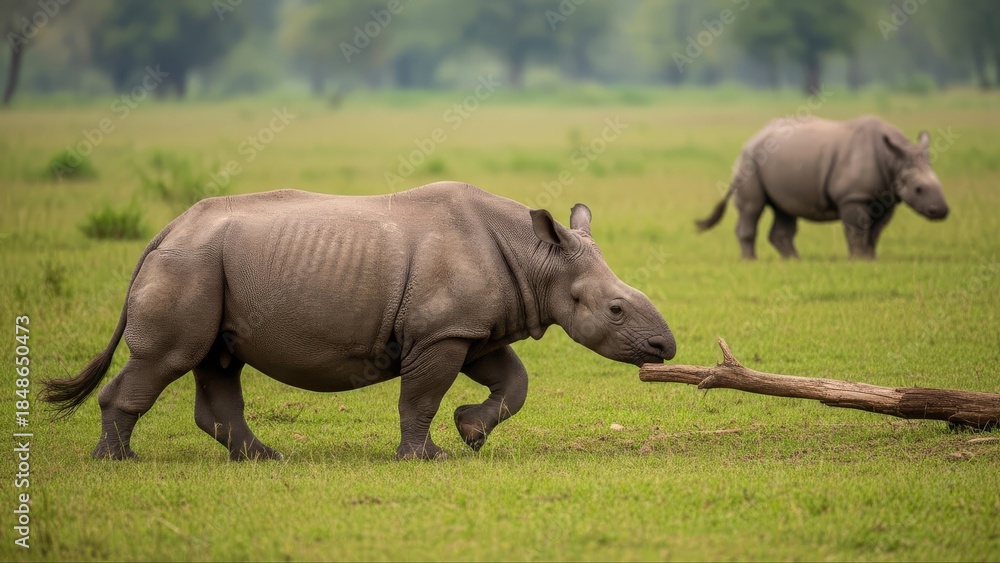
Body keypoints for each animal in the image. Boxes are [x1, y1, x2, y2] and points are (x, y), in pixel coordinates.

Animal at [42, 182, 676, 461]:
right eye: (615, 309)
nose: (665, 347)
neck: (536, 258)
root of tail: (164, 231)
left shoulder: (471, 328)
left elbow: (513, 381)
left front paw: (471, 432)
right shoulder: (441, 331)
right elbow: (420, 396)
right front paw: (427, 457)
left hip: (205, 265)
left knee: (217, 360)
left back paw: (266, 459)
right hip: (190, 263)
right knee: (169, 357)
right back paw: (118, 462)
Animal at [696, 115, 949, 259]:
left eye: (940, 185)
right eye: (918, 189)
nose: (941, 211)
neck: (892, 160)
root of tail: (749, 142)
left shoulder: (886, 197)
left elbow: (875, 231)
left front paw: (870, 258)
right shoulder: (853, 196)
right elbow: (857, 229)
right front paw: (859, 260)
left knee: (784, 210)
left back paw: (795, 261)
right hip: (751, 163)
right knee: (752, 208)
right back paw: (751, 261)